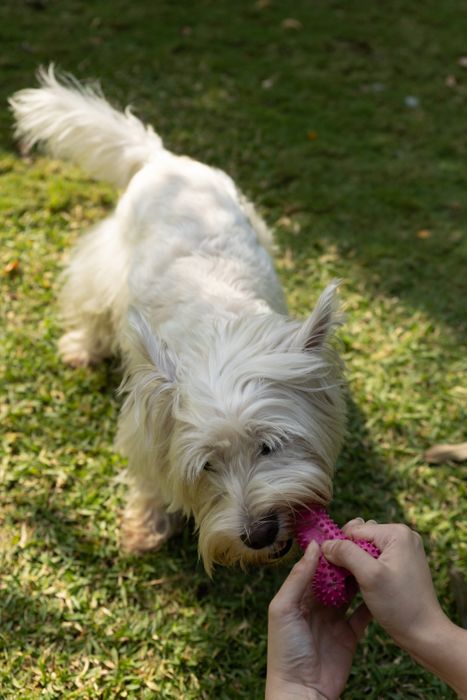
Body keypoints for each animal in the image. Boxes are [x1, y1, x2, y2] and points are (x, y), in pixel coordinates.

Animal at [10, 67, 348, 576]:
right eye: (206, 466)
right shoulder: (147, 427)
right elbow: (152, 478)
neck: (217, 326)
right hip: (107, 260)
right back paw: (82, 348)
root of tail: (163, 158)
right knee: (91, 302)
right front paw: (147, 526)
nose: (259, 535)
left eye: (271, 446)